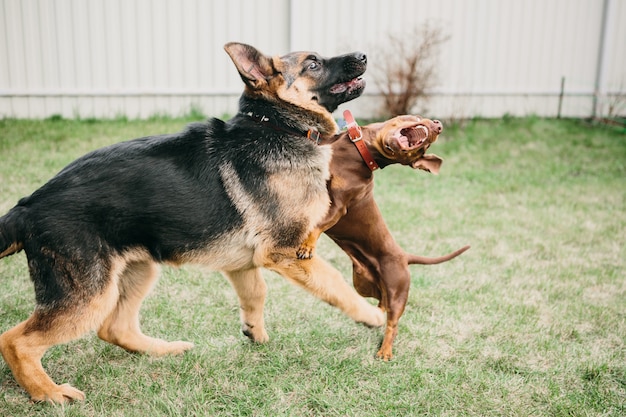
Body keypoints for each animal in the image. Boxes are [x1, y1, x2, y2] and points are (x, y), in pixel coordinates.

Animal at [0, 43, 382, 404]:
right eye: (312, 63)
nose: (364, 54)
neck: (276, 125)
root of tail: (27, 206)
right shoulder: (285, 251)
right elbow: (333, 281)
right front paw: (372, 315)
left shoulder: (244, 263)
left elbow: (256, 292)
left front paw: (255, 332)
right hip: (89, 295)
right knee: (15, 341)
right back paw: (46, 392)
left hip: (138, 271)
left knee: (115, 329)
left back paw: (163, 349)